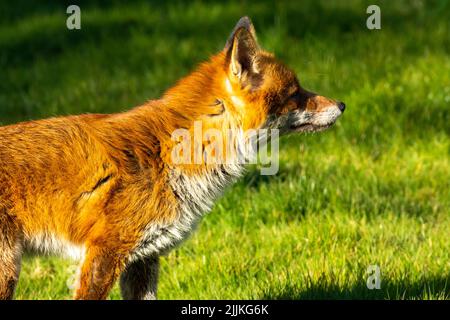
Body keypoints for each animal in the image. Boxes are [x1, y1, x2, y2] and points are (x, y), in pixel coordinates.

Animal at [0, 16, 344, 298]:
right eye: (295, 93)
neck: (173, 156)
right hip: (8, 270)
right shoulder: (105, 251)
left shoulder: (143, 258)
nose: (342, 105)